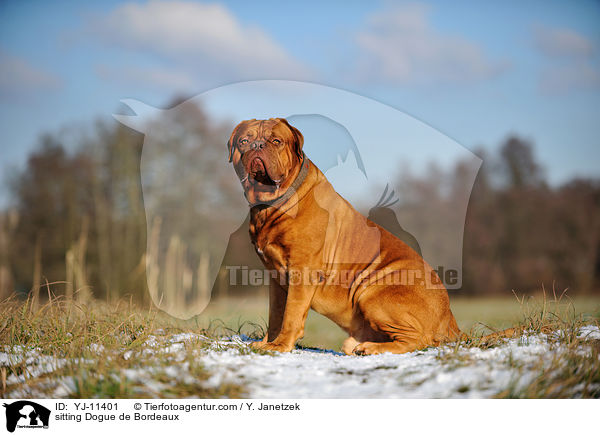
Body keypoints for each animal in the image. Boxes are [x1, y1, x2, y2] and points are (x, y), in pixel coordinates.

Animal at [226, 118, 460, 354]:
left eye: (276, 141)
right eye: (243, 141)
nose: (256, 146)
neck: (272, 204)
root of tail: (449, 320)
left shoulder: (302, 271)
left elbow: (291, 314)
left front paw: (281, 345)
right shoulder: (276, 278)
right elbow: (276, 314)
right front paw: (267, 342)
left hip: (372, 293)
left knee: (418, 338)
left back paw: (371, 349)